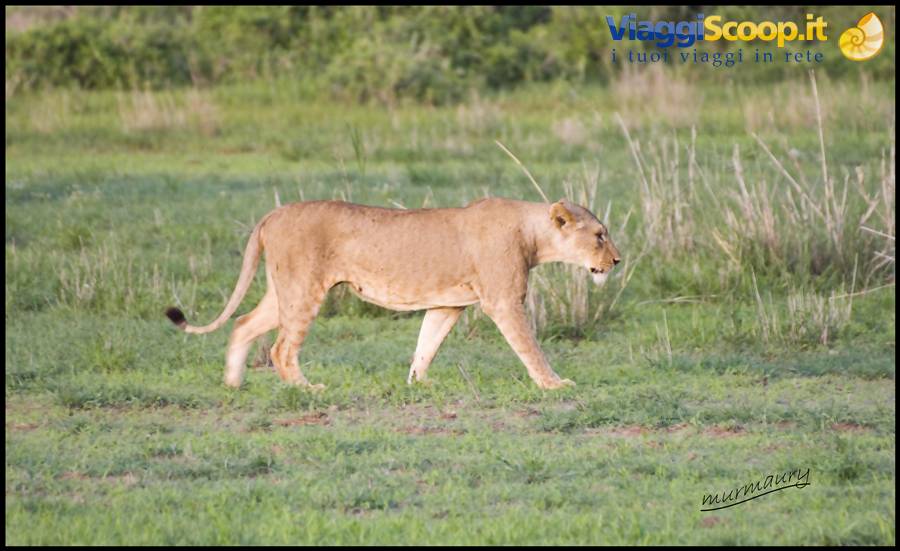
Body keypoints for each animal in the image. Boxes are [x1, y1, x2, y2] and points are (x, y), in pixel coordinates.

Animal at [165, 197, 621, 390]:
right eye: (600, 235)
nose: (616, 261)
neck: (531, 232)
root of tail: (272, 214)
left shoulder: (447, 304)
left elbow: (426, 344)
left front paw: (417, 383)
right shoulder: (504, 301)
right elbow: (530, 347)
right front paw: (554, 384)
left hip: (284, 291)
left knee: (243, 324)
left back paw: (232, 384)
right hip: (304, 289)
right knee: (280, 348)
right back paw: (306, 389)